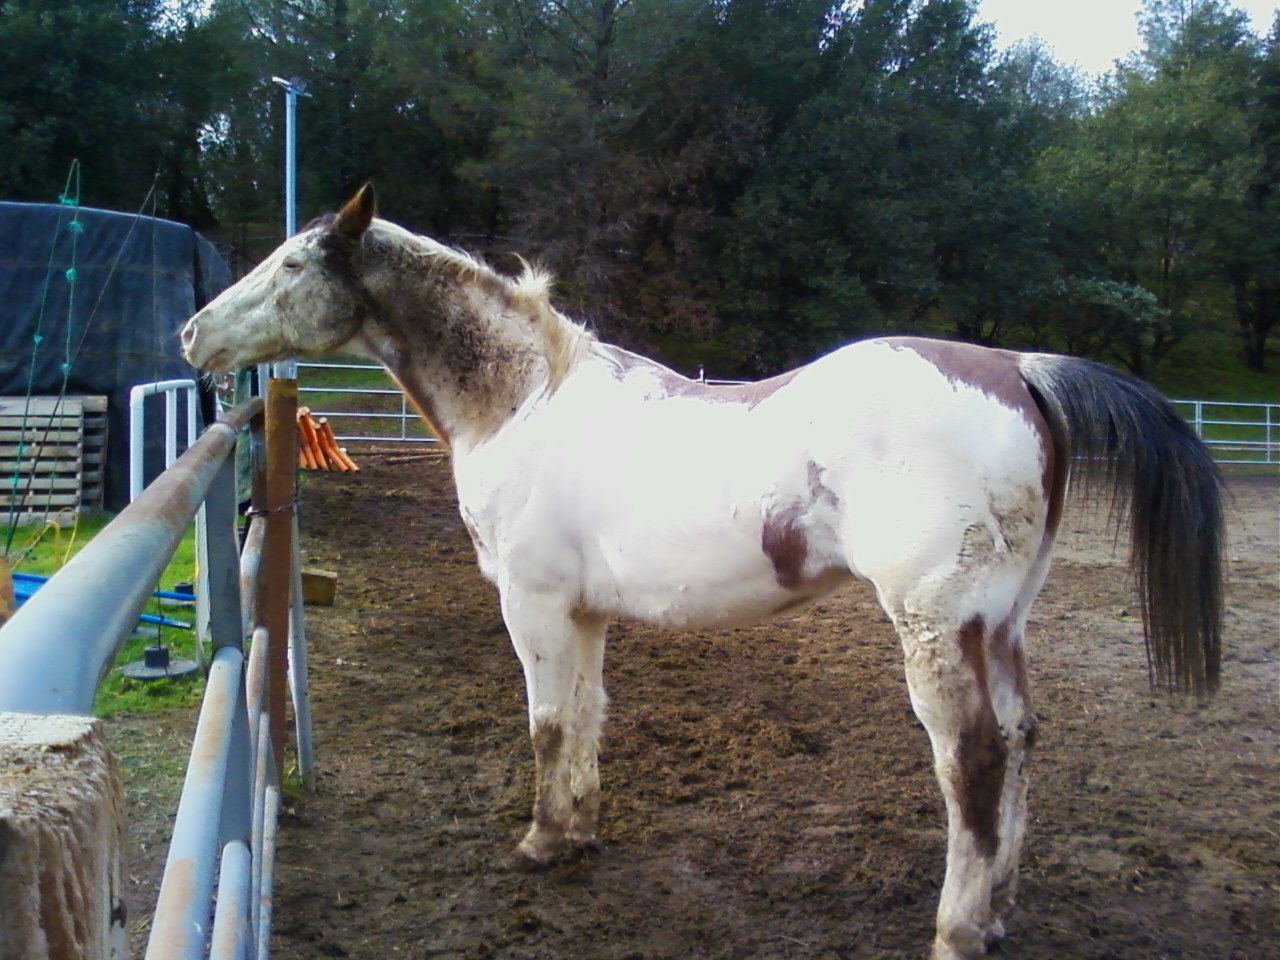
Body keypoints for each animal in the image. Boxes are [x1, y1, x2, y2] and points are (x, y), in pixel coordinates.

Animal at [181, 185, 1223, 960]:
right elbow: (588, 720)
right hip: (999, 625)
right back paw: (999, 909)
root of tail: (1017, 369)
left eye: (291, 264)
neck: (523, 401)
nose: (194, 336)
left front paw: (537, 844)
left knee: (972, 759)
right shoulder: (584, 615)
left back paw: (957, 929)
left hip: (937, 627)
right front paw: (579, 832)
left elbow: (546, 724)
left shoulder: (533, 607)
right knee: (1021, 737)